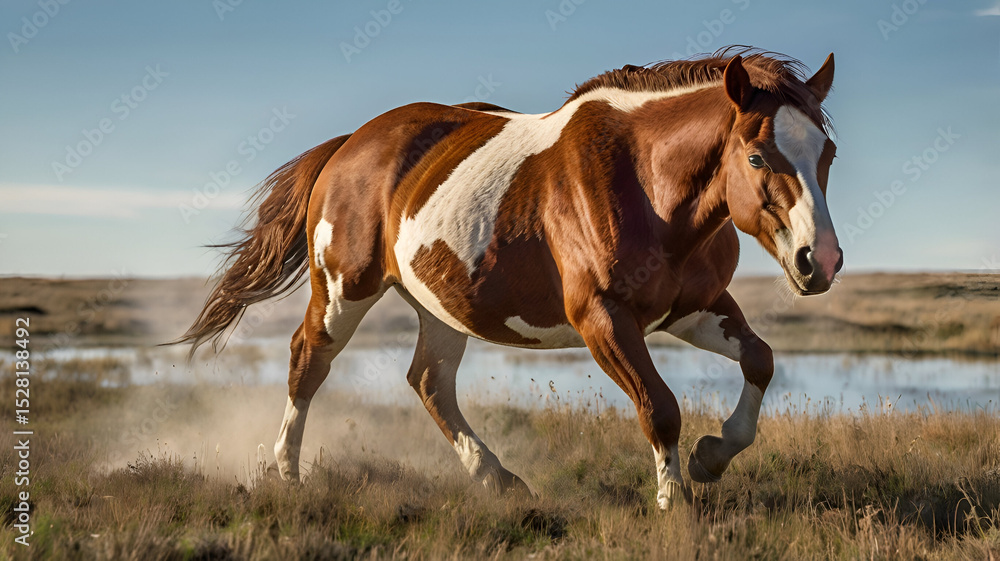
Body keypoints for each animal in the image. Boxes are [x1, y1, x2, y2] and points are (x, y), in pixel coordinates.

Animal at [176, 47, 842, 508]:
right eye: (756, 155)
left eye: (827, 153)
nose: (822, 261)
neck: (645, 183)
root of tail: (349, 146)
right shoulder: (603, 320)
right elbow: (660, 406)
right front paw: (673, 502)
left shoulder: (694, 308)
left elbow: (760, 360)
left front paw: (711, 458)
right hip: (344, 289)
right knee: (308, 361)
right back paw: (287, 473)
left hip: (440, 307)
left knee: (429, 382)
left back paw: (496, 478)